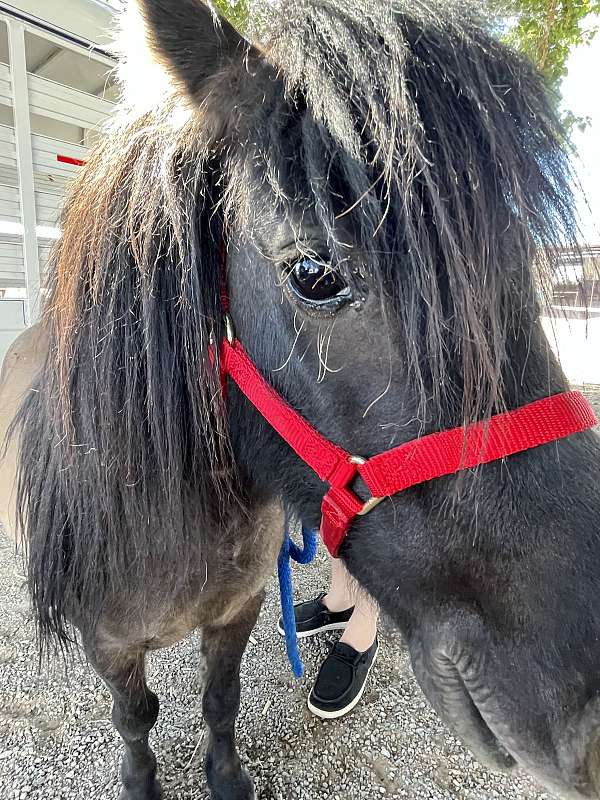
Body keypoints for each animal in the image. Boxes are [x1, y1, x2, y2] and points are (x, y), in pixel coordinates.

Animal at [2, 0, 600, 797]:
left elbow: (219, 698)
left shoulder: (239, 610)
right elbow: (135, 717)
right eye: (314, 273)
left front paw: (226, 776)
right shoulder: (108, 644)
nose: (588, 712)